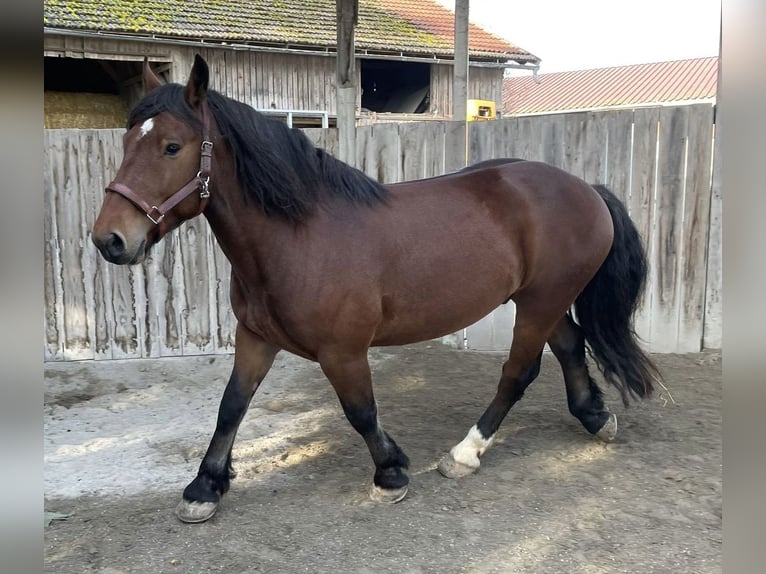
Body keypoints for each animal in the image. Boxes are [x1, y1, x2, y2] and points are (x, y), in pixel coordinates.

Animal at [91, 55, 661, 524]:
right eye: (125, 143)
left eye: (172, 147)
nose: (109, 239)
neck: (299, 237)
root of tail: (587, 189)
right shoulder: (256, 338)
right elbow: (231, 405)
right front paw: (205, 487)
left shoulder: (343, 351)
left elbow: (361, 410)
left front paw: (391, 472)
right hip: (542, 299)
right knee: (569, 346)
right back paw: (595, 416)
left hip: (541, 301)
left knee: (518, 372)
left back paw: (465, 454)